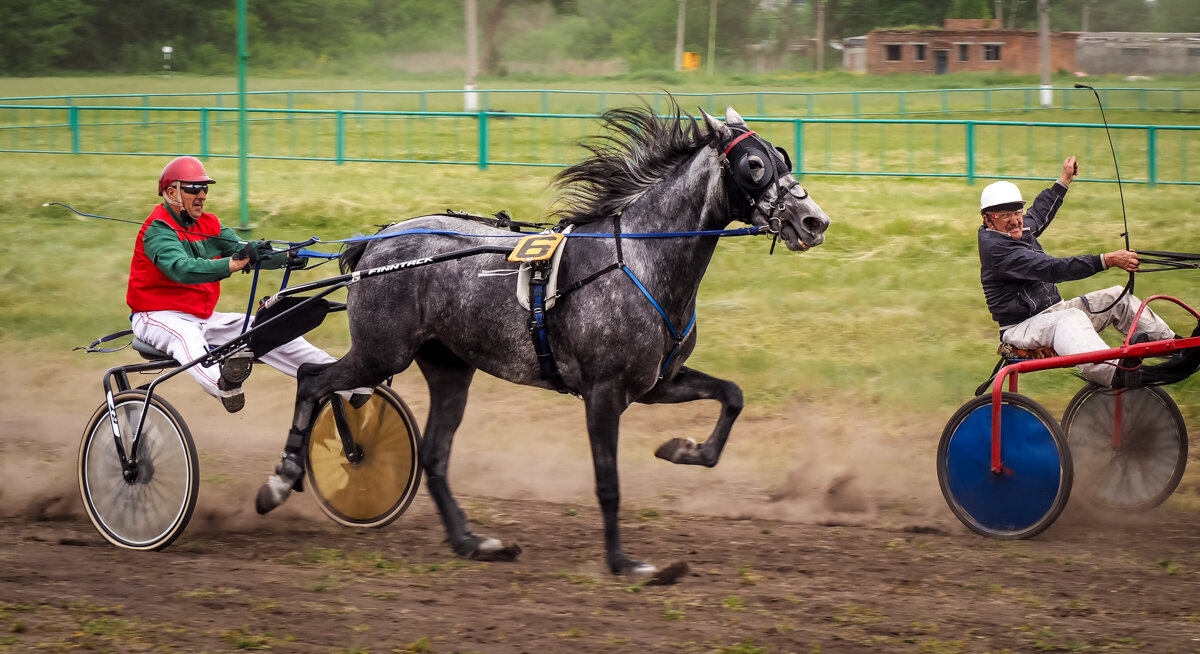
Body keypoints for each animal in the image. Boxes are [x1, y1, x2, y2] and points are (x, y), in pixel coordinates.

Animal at [286, 103, 830, 576]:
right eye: (754, 165)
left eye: (782, 156)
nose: (814, 221)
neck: (640, 261)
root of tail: (373, 243)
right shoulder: (603, 393)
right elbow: (608, 483)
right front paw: (624, 562)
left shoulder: (657, 383)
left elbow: (732, 395)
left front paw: (684, 450)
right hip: (381, 352)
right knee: (313, 380)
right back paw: (288, 473)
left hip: (448, 367)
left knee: (435, 455)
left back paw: (470, 541)